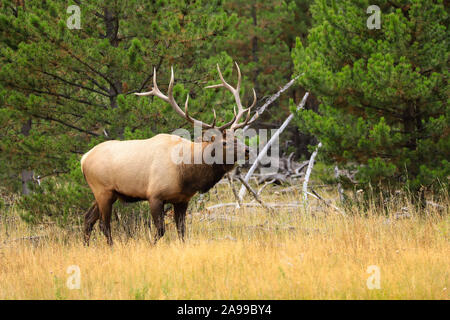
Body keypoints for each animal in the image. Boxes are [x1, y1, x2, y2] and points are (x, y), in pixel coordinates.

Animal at [80, 63, 256, 246]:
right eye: (224, 142)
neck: (187, 174)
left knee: (88, 219)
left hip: (107, 193)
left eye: (236, 138)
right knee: (103, 225)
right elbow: (161, 230)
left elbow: (182, 231)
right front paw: (150, 246)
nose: (247, 150)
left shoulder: (182, 200)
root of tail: (83, 159)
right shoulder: (154, 195)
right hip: (102, 190)